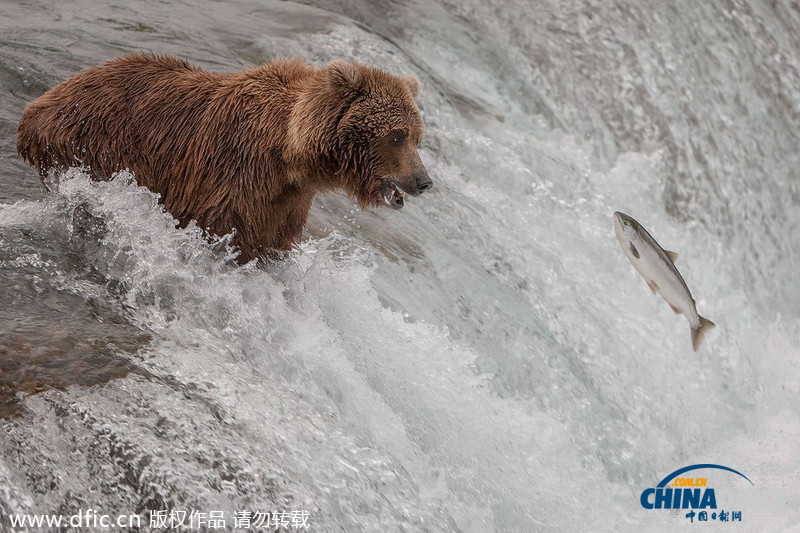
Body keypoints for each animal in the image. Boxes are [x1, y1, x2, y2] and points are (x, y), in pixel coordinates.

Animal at [15, 53, 432, 262]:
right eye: (396, 136)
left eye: (417, 136)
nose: (424, 181)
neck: (291, 157)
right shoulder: (233, 175)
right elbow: (224, 231)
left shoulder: (286, 203)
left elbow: (271, 243)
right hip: (97, 146)